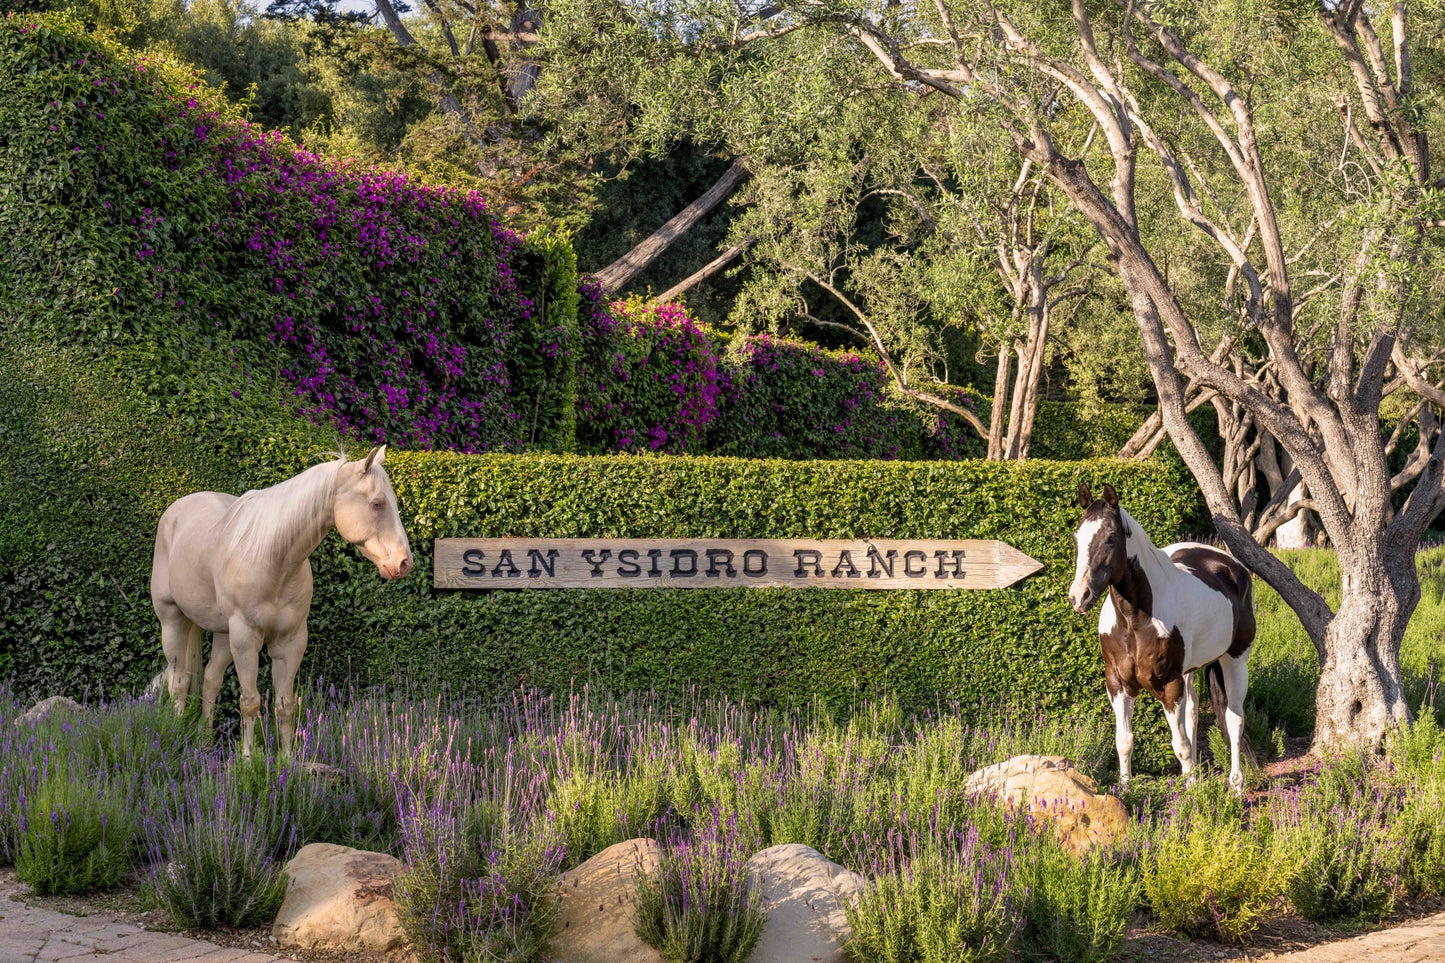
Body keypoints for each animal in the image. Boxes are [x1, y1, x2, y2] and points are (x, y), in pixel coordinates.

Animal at [151, 445, 413, 751]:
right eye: (377, 504)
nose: (404, 563)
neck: (273, 560)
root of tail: (175, 511)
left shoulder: (290, 642)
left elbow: (285, 705)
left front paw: (287, 758)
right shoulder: (246, 639)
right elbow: (250, 703)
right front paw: (248, 758)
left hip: (224, 635)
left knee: (210, 680)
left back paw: (205, 741)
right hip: (173, 621)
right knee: (179, 681)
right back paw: (175, 734)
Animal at [1069, 480, 1260, 786]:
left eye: (1111, 538)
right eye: (1077, 538)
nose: (1079, 596)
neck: (1134, 621)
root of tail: (1230, 564)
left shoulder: (1170, 684)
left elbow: (1179, 745)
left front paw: (1193, 792)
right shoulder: (1118, 684)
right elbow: (1124, 741)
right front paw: (1126, 788)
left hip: (1235, 659)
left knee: (1234, 719)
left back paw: (1236, 783)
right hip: (1191, 670)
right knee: (1194, 712)